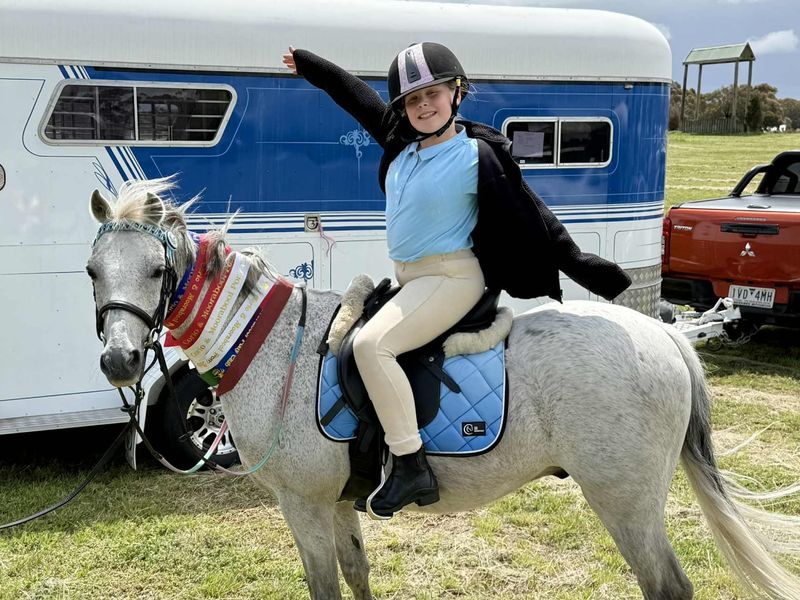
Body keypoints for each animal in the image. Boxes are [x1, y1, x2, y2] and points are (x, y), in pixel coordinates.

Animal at [87, 177, 800, 600]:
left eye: (157, 271)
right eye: (93, 269)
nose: (120, 361)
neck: (273, 346)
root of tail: (663, 337)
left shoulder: (304, 505)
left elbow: (324, 586)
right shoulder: (338, 504)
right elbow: (356, 574)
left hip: (624, 499)